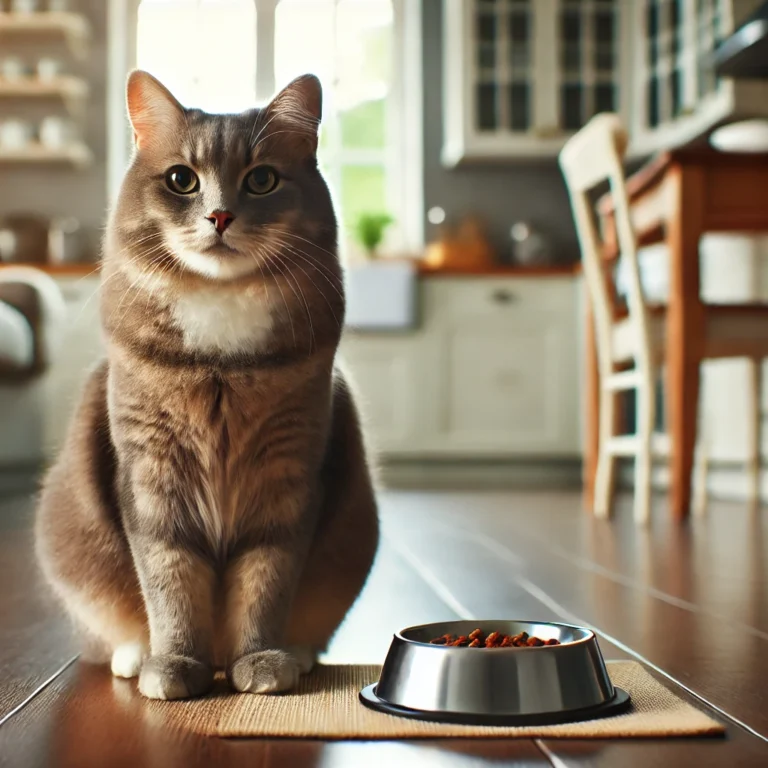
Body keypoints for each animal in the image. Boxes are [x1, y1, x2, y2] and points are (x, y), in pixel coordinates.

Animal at [34, 72, 380, 704]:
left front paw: (261, 661)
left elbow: (266, 578)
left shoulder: (286, 472)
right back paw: (136, 657)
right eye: (181, 180)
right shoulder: (152, 474)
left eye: (262, 179)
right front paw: (174, 665)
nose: (219, 216)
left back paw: (293, 654)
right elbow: (169, 578)